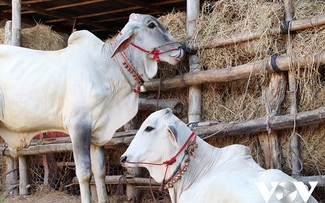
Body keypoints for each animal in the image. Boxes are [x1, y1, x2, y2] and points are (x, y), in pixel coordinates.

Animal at [0, 13, 184, 202]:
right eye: (151, 25)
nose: (181, 48)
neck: (107, 69)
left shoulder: (98, 132)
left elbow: (100, 172)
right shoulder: (78, 127)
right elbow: (84, 173)